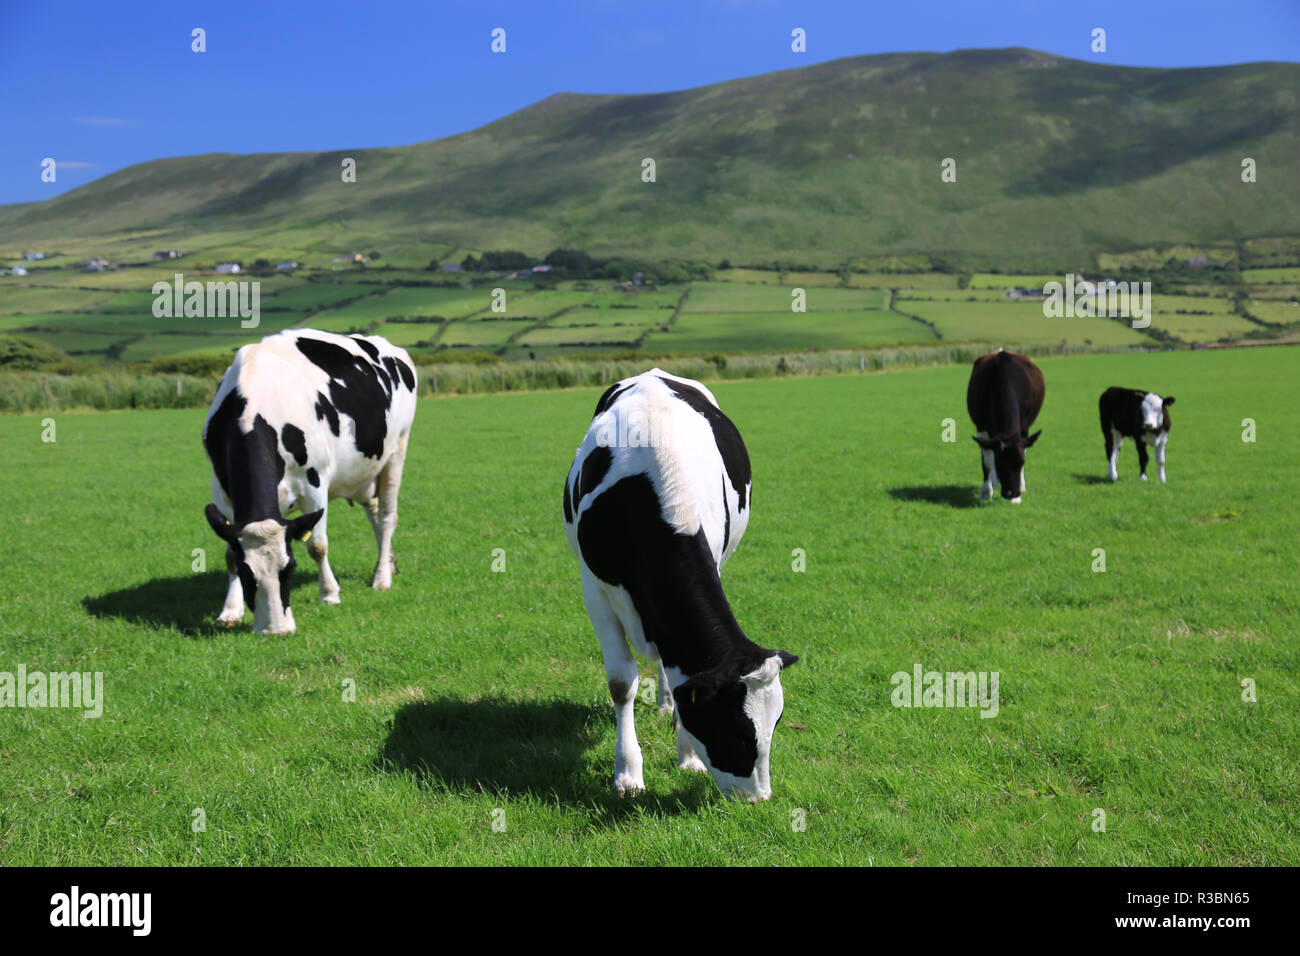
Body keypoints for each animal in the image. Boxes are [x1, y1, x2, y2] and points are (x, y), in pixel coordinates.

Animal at [202, 329, 418, 634]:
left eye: (289, 567)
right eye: (247, 572)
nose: (276, 630)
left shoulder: (315, 483)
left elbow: (317, 546)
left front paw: (329, 594)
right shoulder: (222, 492)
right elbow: (231, 554)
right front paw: (231, 610)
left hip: (397, 450)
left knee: (387, 517)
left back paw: (382, 578)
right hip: (365, 471)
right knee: (375, 513)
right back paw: (388, 563)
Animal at [563, 369, 797, 802]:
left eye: (775, 725)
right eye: (736, 732)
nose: (758, 799)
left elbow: (681, 676)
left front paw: (687, 757)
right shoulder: (596, 590)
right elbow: (621, 682)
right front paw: (628, 774)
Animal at [966, 349, 1046, 503]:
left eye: (1021, 463)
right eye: (1000, 463)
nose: (1011, 493)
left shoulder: (1024, 427)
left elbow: (1023, 450)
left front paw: (1019, 492)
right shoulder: (981, 427)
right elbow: (987, 459)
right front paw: (986, 491)